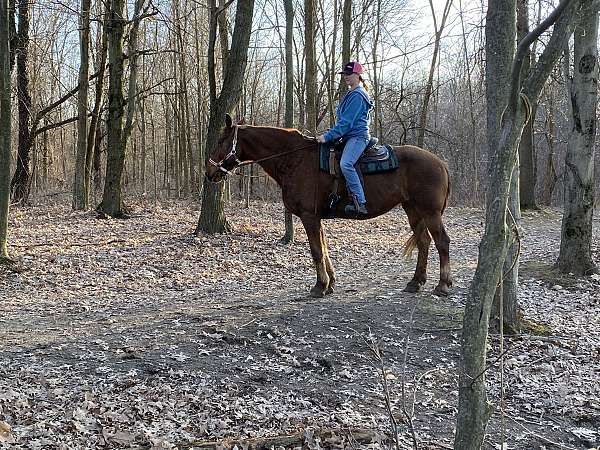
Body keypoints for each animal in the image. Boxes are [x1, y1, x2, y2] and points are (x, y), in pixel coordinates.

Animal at [206, 114, 450, 298]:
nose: (209, 173)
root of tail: (440, 162)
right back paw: (415, 282)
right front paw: (330, 283)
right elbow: (324, 249)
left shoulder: (309, 216)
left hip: (430, 212)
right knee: (424, 241)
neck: (295, 160)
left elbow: (316, 251)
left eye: (220, 141)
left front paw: (319, 286)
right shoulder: (317, 217)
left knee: (442, 242)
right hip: (413, 210)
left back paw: (442, 285)